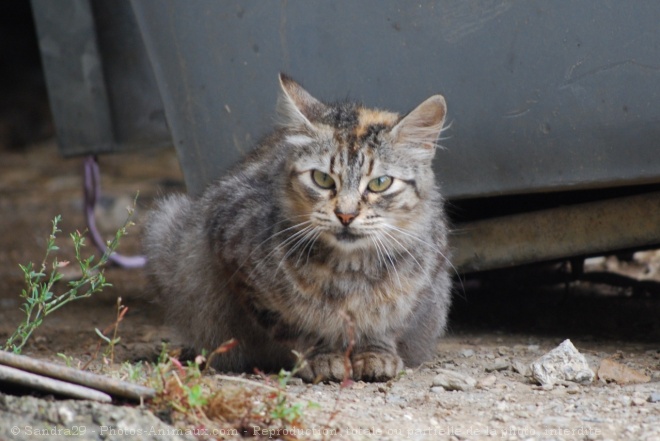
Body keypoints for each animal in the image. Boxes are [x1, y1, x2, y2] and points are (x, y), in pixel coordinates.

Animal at [143, 74, 454, 380]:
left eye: (380, 183)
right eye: (322, 179)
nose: (346, 215)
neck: (349, 271)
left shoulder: (420, 287)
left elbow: (384, 326)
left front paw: (375, 354)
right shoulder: (238, 263)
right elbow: (300, 328)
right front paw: (323, 357)